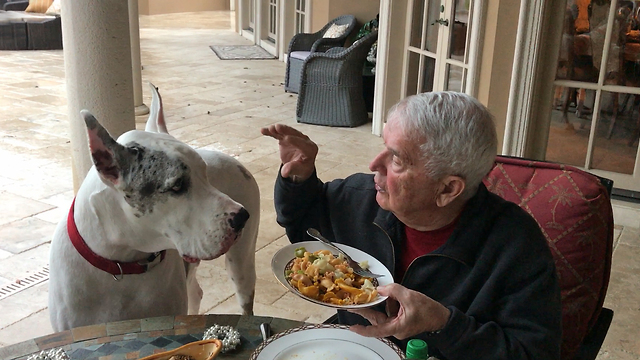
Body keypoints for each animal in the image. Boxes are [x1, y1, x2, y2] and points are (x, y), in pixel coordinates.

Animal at [48, 84, 258, 332]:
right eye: (177, 185)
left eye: (205, 173)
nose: (241, 216)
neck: (121, 263)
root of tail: (237, 161)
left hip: (241, 264)